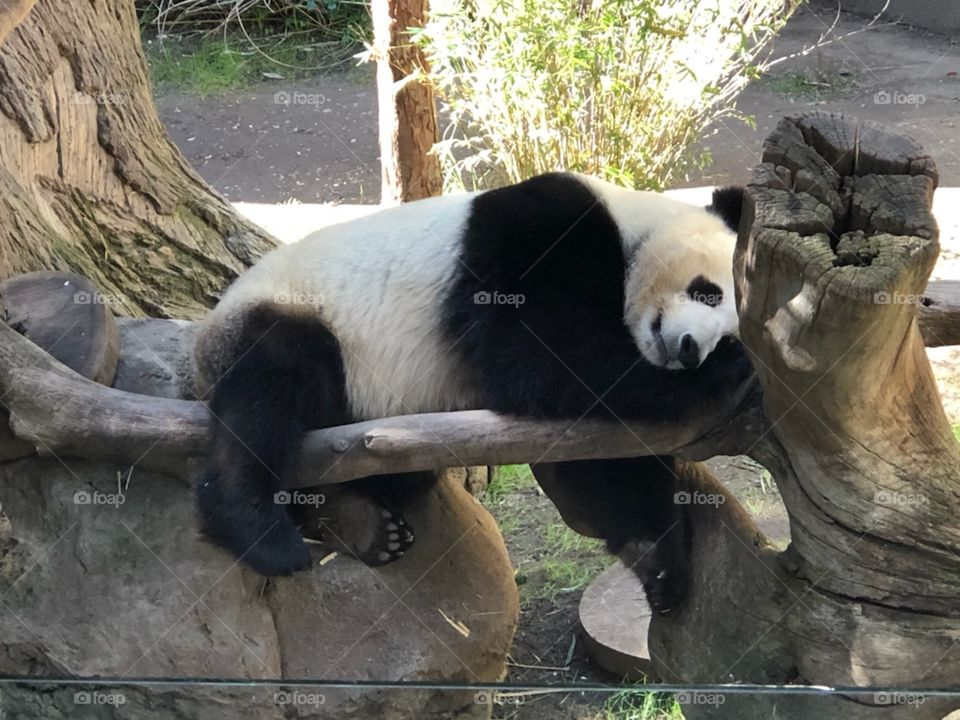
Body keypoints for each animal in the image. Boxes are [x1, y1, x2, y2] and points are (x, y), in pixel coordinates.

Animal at [193, 172, 751, 614]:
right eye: (708, 291)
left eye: (728, 332)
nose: (689, 351)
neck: (630, 229)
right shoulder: (538, 230)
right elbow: (537, 355)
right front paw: (726, 374)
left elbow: (609, 453)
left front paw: (657, 561)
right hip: (296, 312)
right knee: (268, 390)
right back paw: (261, 532)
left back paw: (356, 520)